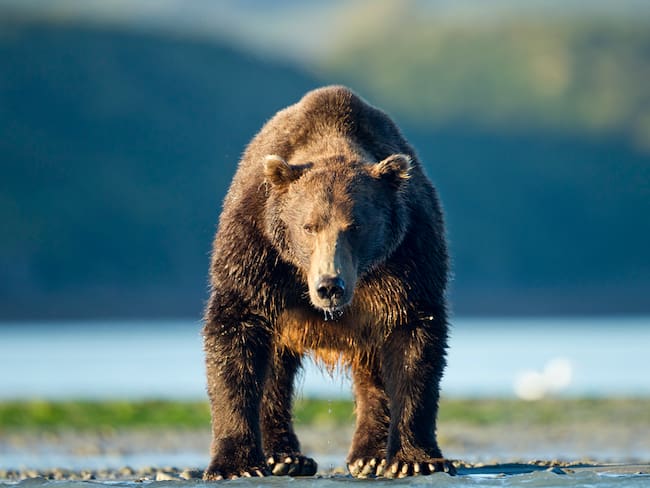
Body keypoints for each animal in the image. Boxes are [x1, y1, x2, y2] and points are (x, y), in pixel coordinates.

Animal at [202, 86, 453, 480]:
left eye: (356, 226)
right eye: (309, 226)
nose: (329, 285)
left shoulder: (408, 256)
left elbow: (414, 343)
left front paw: (414, 459)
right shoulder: (257, 249)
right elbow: (235, 335)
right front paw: (236, 464)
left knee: (372, 373)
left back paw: (368, 455)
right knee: (275, 374)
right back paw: (286, 457)